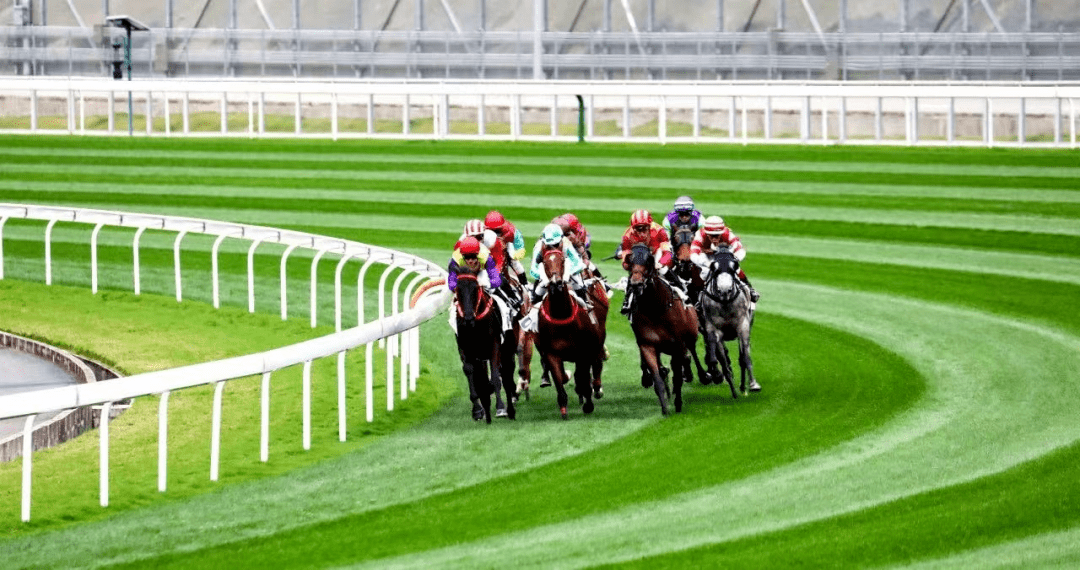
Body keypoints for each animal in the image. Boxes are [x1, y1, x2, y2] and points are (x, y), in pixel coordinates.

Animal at [449, 272, 511, 423]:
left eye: (475, 289)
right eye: (457, 290)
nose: (468, 318)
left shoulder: (494, 345)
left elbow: (495, 375)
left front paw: (501, 407)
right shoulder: (464, 348)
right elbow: (469, 371)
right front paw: (477, 410)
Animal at [533, 245, 609, 418]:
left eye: (562, 261)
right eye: (544, 262)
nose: (556, 284)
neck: (561, 315)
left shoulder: (583, 352)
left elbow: (583, 378)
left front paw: (588, 404)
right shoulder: (552, 353)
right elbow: (560, 378)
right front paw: (563, 408)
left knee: (596, 364)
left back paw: (596, 388)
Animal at [626, 243, 708, 414]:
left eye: (649, 260)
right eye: (629, 261)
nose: (636, 284)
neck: (655, 310)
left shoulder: (678, 344)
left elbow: (678, 375)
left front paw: (678, 403)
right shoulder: (648, 345)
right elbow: (657, 376)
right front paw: (665, 408)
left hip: (690, 336)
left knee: (691, 353)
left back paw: (704, 375)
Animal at [695, 247, 764, 399]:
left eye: (734, 266)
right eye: (713, 267)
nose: (725, 290)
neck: (725, 303)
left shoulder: (742, 326)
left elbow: (745, 357)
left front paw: (753, 384)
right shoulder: (714, 330)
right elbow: (722, 361)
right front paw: (732, 389)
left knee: (743, 356)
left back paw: (744, 386)